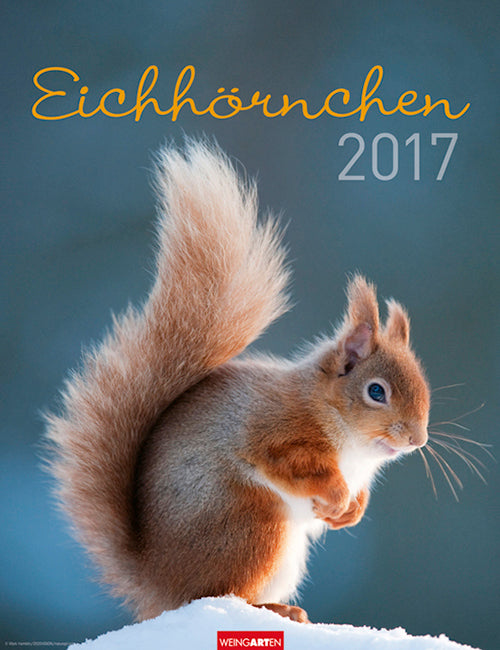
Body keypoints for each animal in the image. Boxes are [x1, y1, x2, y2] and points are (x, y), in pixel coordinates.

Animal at [45, 139, 430, 624]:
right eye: (376, 391)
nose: (418, 440)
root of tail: (158, 584)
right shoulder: (278, 433)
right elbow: (295, 466)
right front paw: (336, 495)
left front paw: (350, 513)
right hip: (253, 527)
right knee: (219, 593)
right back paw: (273, 608)